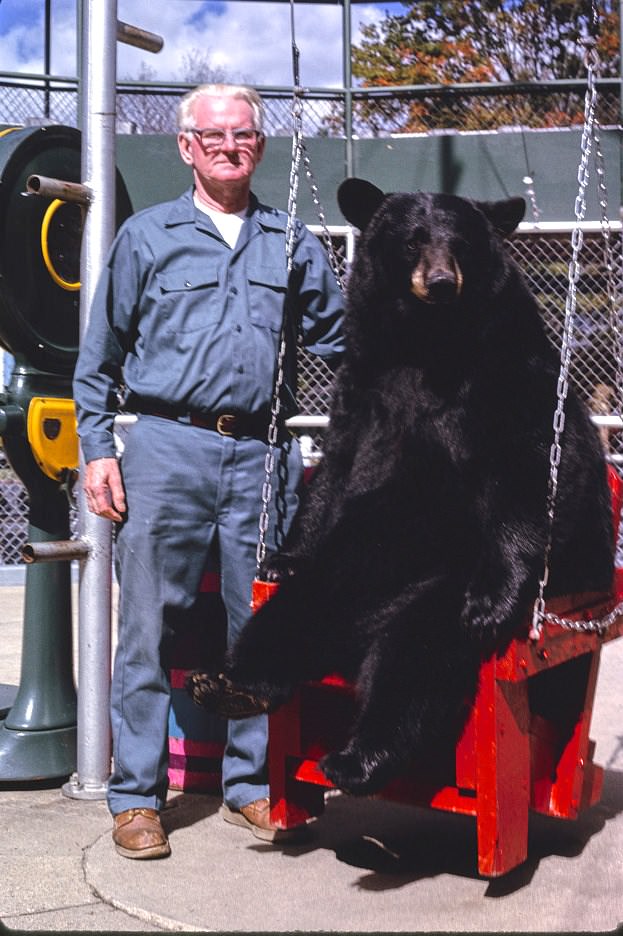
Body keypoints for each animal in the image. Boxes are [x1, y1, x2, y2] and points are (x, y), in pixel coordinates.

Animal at [186, 179, 616, 792]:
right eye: (413, 240)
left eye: (460, 242)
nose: (439, 282)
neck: (426, 340)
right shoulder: (366, 383)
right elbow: (340, 465)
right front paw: (283, 556)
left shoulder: (507, 374)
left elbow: (530, 466)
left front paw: (494, 596)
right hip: (355, 566)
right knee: (313, 598)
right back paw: (230, 683)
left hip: (480, 585)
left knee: (419, 648)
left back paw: (361, 756)